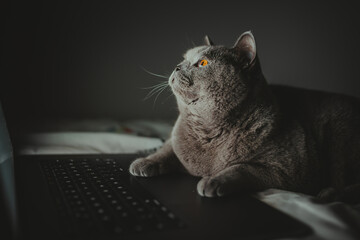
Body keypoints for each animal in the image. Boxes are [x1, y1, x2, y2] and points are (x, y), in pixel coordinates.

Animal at [129, 30, 360, 202]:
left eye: (202, 63)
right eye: (184, 59)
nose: (177, 67)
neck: (207, 131)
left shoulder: (286, 171)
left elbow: (242, 167)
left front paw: (212, 181)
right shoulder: (176, 140)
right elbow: (166, 149)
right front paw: (143, 162)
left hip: (338, 136)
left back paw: (327, 194)